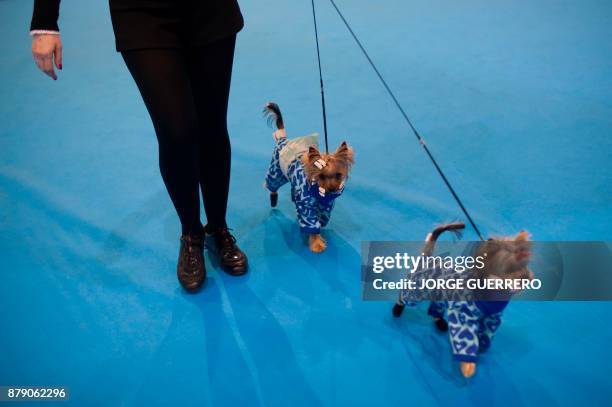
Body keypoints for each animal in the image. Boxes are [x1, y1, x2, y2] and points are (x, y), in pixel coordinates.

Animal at [262, 103, 354, 252]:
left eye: (338, 175)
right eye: (321, 176)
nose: (332, 189)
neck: (319, 192)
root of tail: (283, 139)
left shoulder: (326, 206)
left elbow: (321, 220)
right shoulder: (307, 206)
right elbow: (311, 223)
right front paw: (316, 244)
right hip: (276, 171)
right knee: (272, 185)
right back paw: (273, 197)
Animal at [392, 223, 532, 380]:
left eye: (526, 265)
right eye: (510, 269)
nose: (527, 278)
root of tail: (428, 257)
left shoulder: (492, 318)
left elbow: (486, 334)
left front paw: (482, 345)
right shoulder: (463, 315)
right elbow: (466, 340)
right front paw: (468, 366)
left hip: (439, 295)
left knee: (436, 309)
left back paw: (439, 321)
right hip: (417, 290)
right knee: (405, 297)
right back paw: (397, 309)